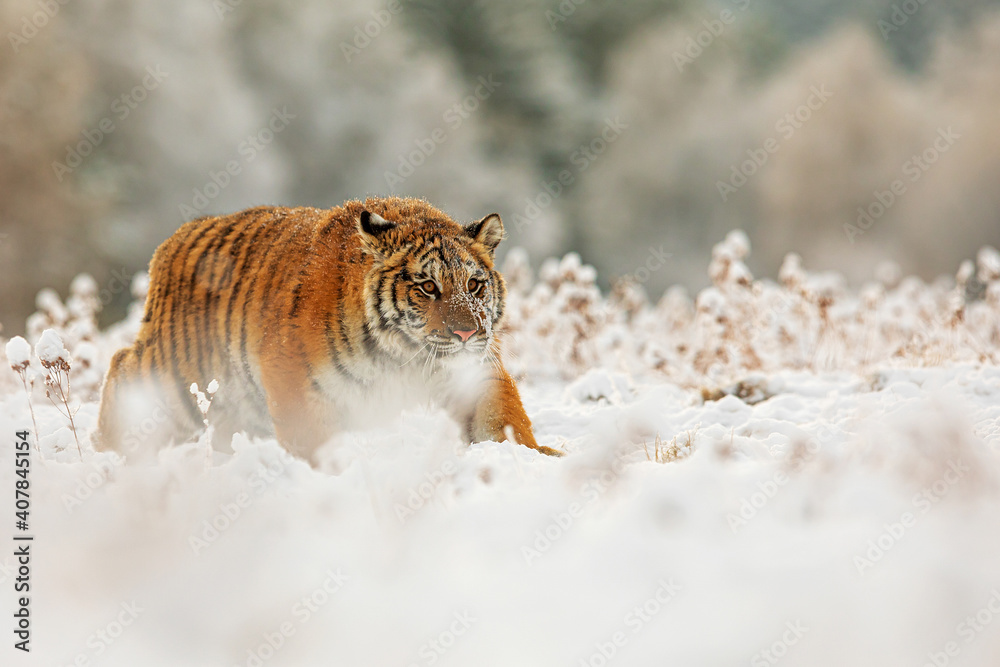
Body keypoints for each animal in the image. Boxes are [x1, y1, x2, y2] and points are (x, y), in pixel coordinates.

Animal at [95, 196, 563, 464]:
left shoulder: (476, 370)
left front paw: (540, 456)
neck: (407, 358)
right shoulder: (293, 380)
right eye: (428, 286)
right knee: (120, 365)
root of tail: (172, 240)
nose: (466, 333)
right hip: (174, 381)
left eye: (474, 285)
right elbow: (311, 442)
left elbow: (506, 419)